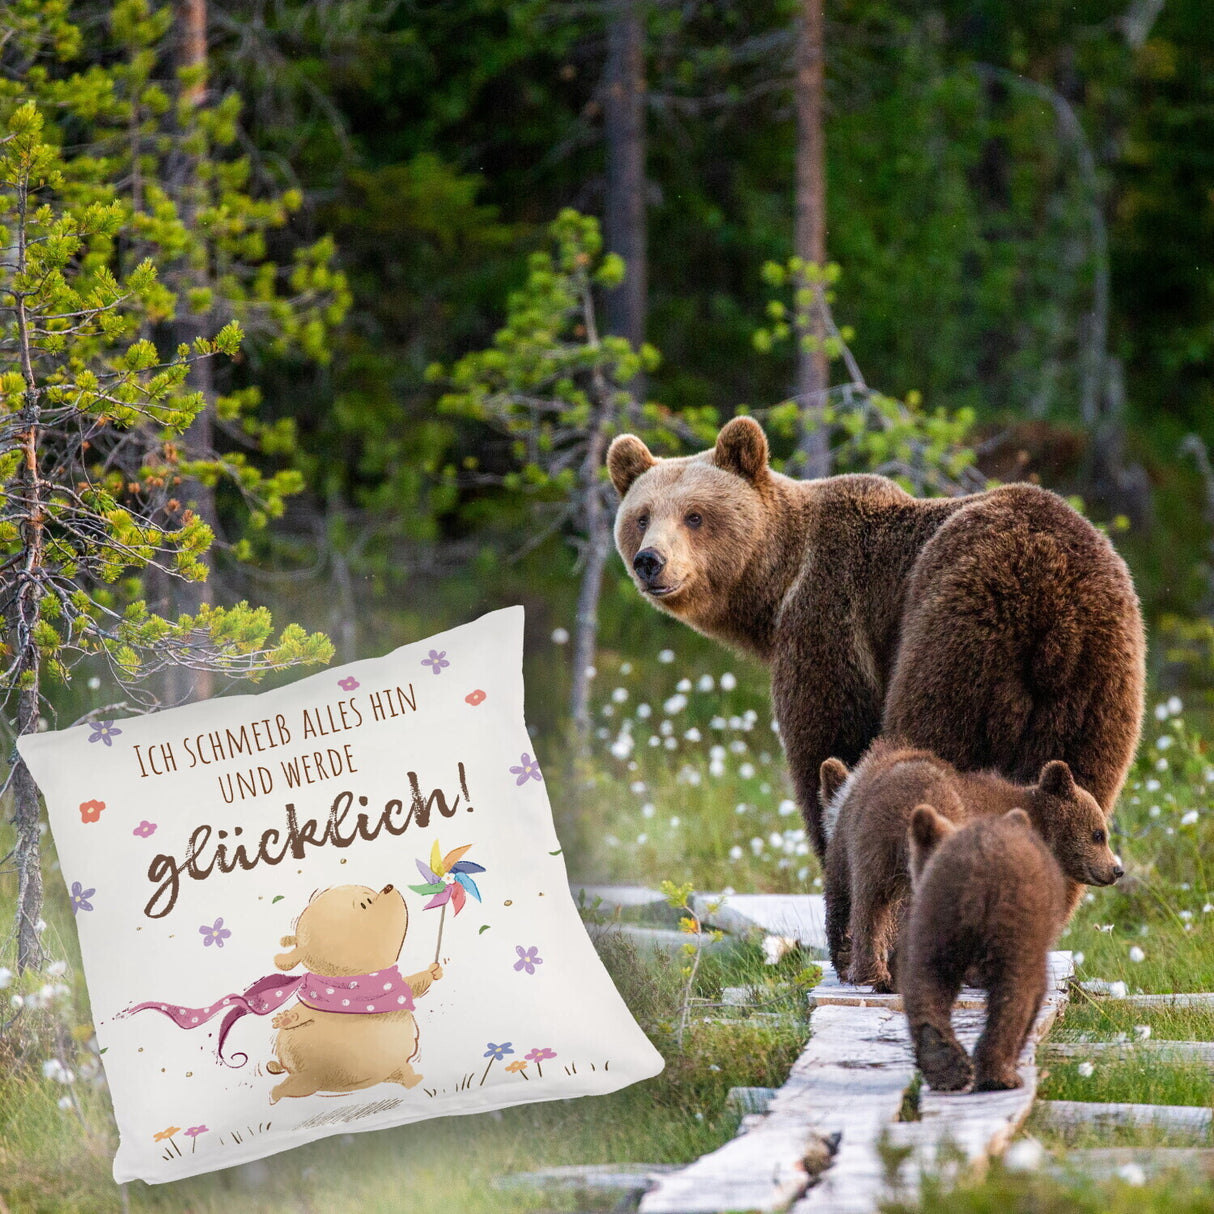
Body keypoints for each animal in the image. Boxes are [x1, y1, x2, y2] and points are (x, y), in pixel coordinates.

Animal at [265, 883, 442, 1103]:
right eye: (365, 903)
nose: (388, 887)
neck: (360, 982)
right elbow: (302, 1014)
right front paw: (286, 1019)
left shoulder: (404, 986)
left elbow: (415, 984)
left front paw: (434, 971)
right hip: (307, 1079)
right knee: (294, 1087)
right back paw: (275, 1093)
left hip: (391, 1068)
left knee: (402, 1072)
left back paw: (414, 1080)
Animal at [607, 416, 1145, 862]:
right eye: (642, 516)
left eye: (695, 515)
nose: (650, 561)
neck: (777, 586)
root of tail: (1055, 606)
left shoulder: (830, 617)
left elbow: (830, 738)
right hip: (1098, 682)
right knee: (1079, 783)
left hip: (961, 632)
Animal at [900, 805, 1082, 1091]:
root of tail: (977, 866)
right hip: (1017, 922)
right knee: (1017, 990)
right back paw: (999, 1075)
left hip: (937, 916)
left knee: (927, 980)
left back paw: (944, 1065)